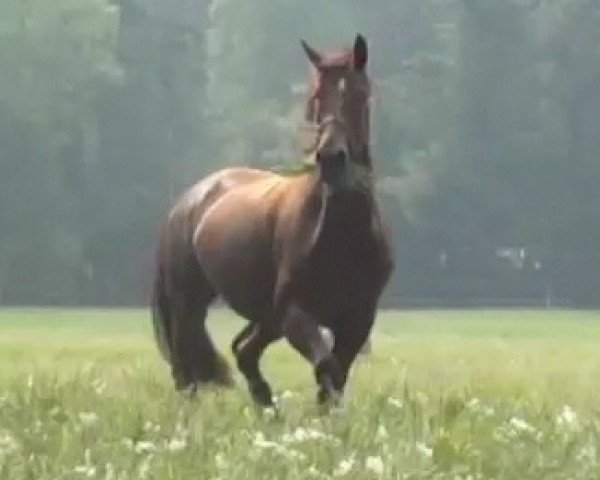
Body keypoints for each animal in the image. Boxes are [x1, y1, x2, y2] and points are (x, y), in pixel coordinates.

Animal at [152, 33, 392, 404]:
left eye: (359, 94)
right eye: (316, 97)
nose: (331, 159)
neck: (339, 235)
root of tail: (187, 200)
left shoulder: (358, 319)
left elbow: (334, 379)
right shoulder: (295, 315)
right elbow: (327, 369)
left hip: (265, 319)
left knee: (243, 353)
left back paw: (266, 405)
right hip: (188, 304)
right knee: (186, 372)